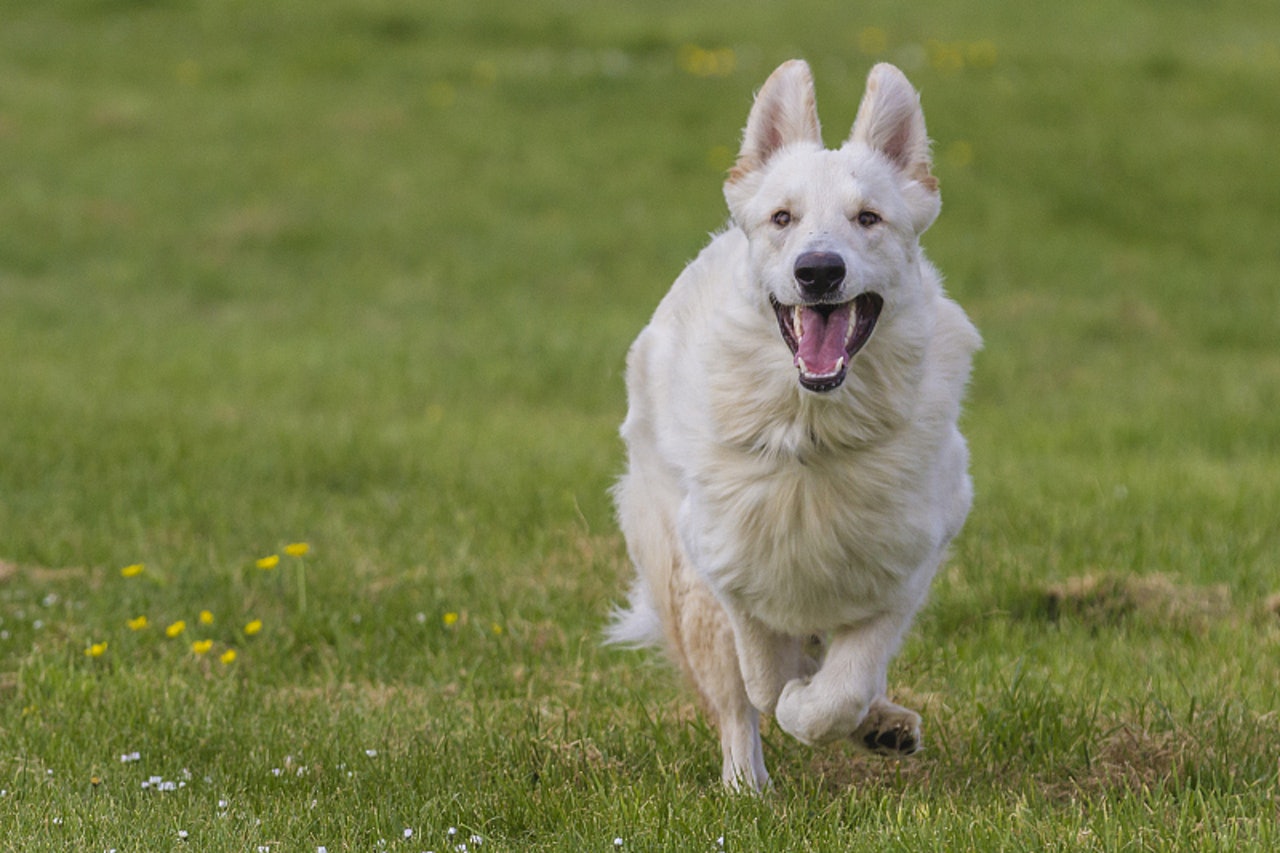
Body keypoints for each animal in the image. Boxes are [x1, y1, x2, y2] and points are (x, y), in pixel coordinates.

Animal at [609, 61, 977, 788]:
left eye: (869, 218)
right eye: (783, 218)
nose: (818, 270)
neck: (812, 432)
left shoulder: (908, 564)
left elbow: (840, 687)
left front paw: (835, 713)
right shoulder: (722, 565)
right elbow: (761, 680)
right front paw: (784, 708)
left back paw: (879, 723)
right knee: (734, 701)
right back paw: (747, 787)